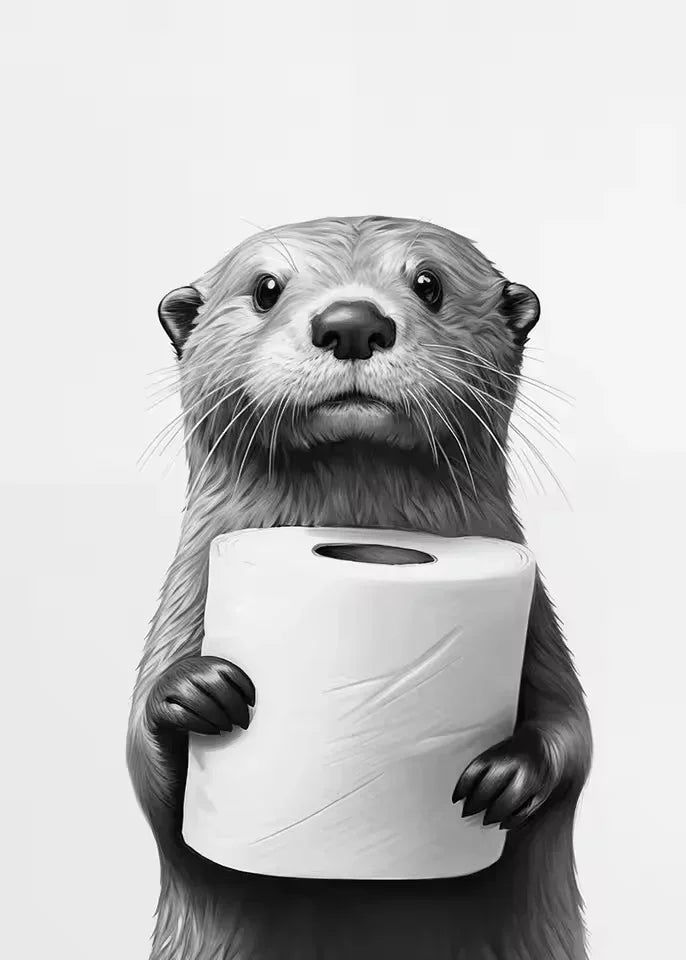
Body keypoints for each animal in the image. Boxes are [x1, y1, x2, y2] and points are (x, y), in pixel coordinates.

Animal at [127, 216, 592, 960]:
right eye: (265, 288)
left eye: (429, 283)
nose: (351, 322)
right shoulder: (183, 602)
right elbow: (146, 773)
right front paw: (193, 691)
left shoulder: (539, 625)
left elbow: (574, 734)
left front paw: (508, 775)